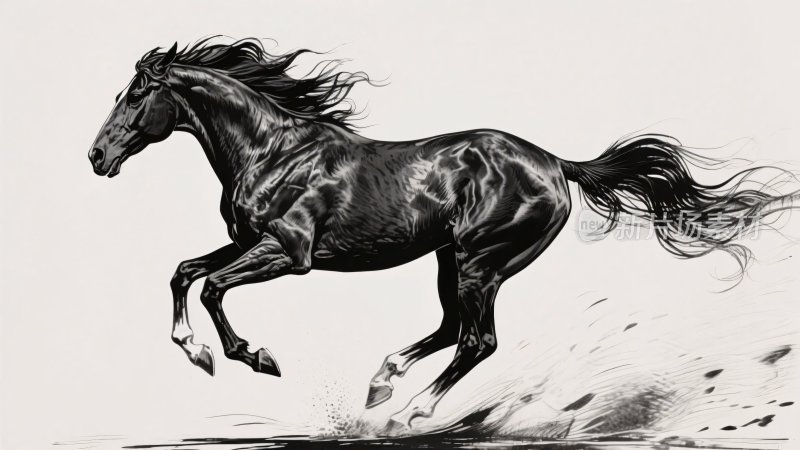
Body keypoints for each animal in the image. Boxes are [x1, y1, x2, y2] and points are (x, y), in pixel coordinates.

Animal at [88, 38, 797, 430]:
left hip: (481, 261)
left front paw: (247, 357)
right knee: (454, 329)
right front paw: (197, 351)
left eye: (134, 96)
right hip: (449, 258)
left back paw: (409, 411)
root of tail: (555, 163)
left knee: (477, 340)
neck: (273, 150)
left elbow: (212, 288)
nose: (96, 156)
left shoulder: (289, 252)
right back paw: (382, 382)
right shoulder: (247, 241)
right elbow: (185, 271)